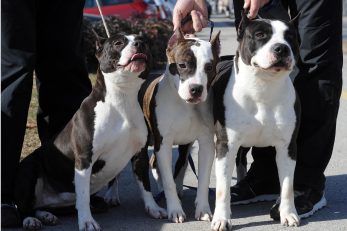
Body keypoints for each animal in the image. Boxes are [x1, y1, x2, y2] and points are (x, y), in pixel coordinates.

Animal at [13, 33, 166, 231]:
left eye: (144, 40)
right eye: (118, 43)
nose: (139, 44)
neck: (122, 98)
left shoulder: (140, 155)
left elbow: (145, 185)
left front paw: (153, 208)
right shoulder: (84, 159)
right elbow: (84, 196)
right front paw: (87, 221)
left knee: (40, 206)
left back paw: (46, 215)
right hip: (29, 169)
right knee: (24, 206)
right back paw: (30, 219)